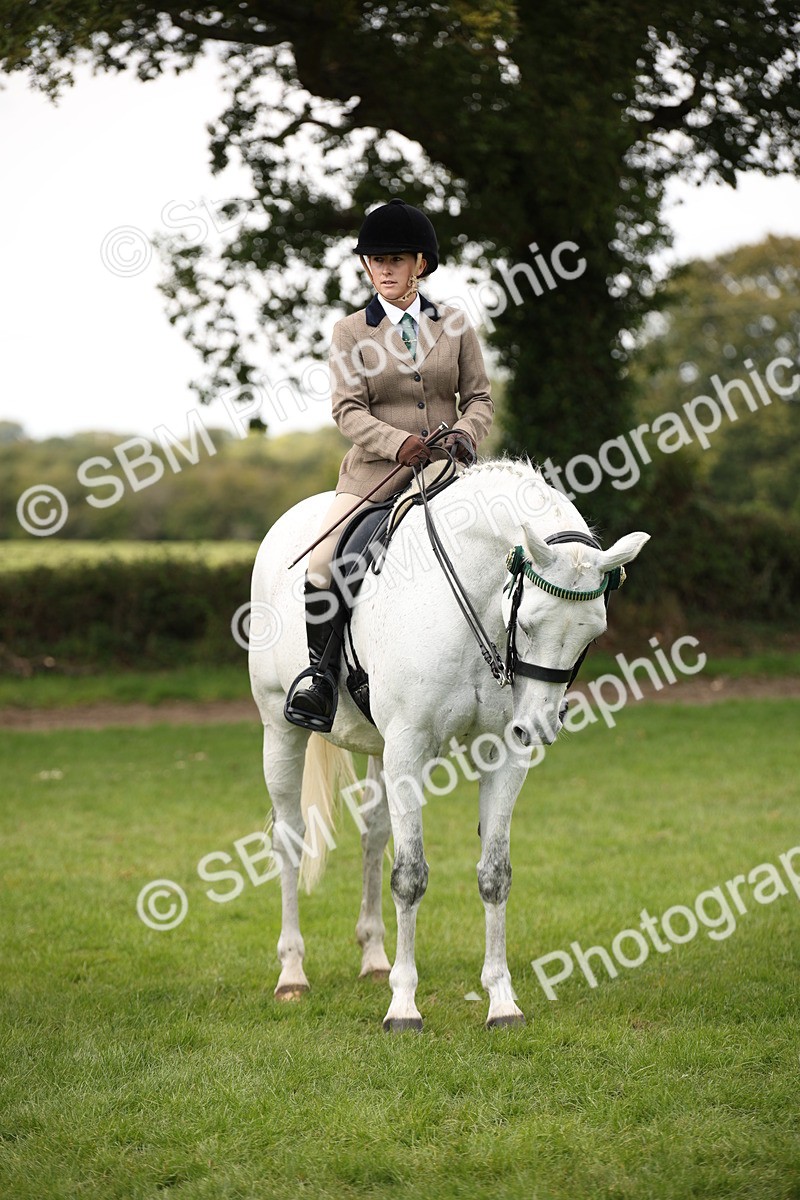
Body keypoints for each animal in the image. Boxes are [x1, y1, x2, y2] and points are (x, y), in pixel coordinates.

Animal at [248, 459, 649, 1030]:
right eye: (528, 624)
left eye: (593, 633)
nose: (539, 726)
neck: (473, 602)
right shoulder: (409, 747)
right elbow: (410, 875)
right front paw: (403, 1007)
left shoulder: (502, 753)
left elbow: (494, 874)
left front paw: (502, 1000)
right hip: (280, 729)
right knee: (290, 838)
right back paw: (292, 974)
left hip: (378, 750)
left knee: (373, 835)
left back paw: (375, 958)